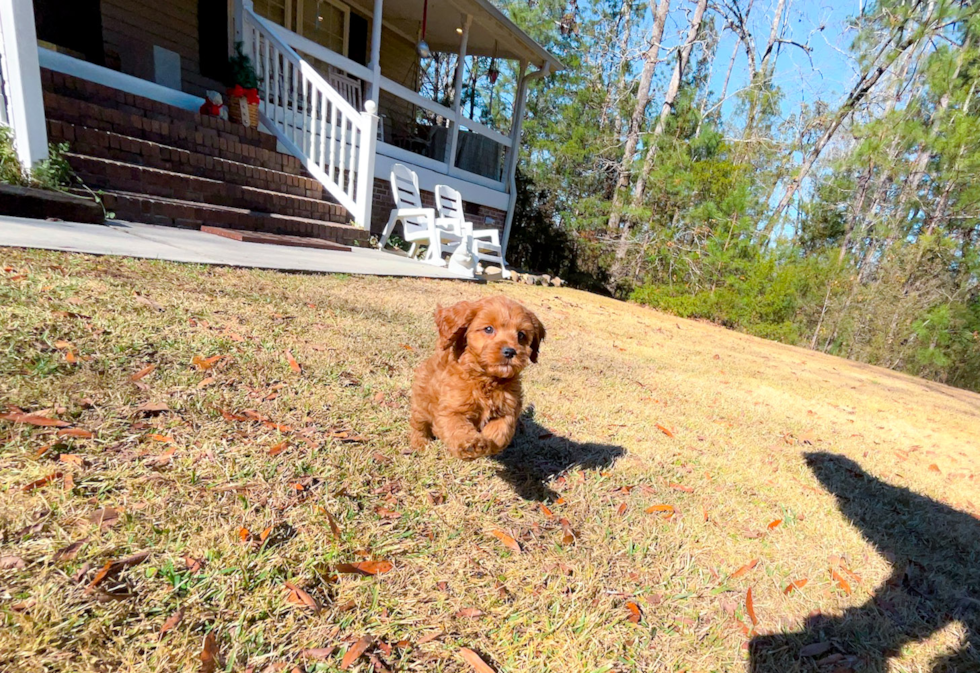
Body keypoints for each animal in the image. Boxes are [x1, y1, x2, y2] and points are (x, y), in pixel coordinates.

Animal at [406, 296, 544, 460]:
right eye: (488, 329)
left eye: (521, 335)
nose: (510, 351)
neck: (487, 379)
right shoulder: (448, 409)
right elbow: (456, 426)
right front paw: (470, 444)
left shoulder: (508, 408)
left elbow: (502, 430)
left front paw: (490, 443)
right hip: (421, 401)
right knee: (418, 424)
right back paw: (420, 443)